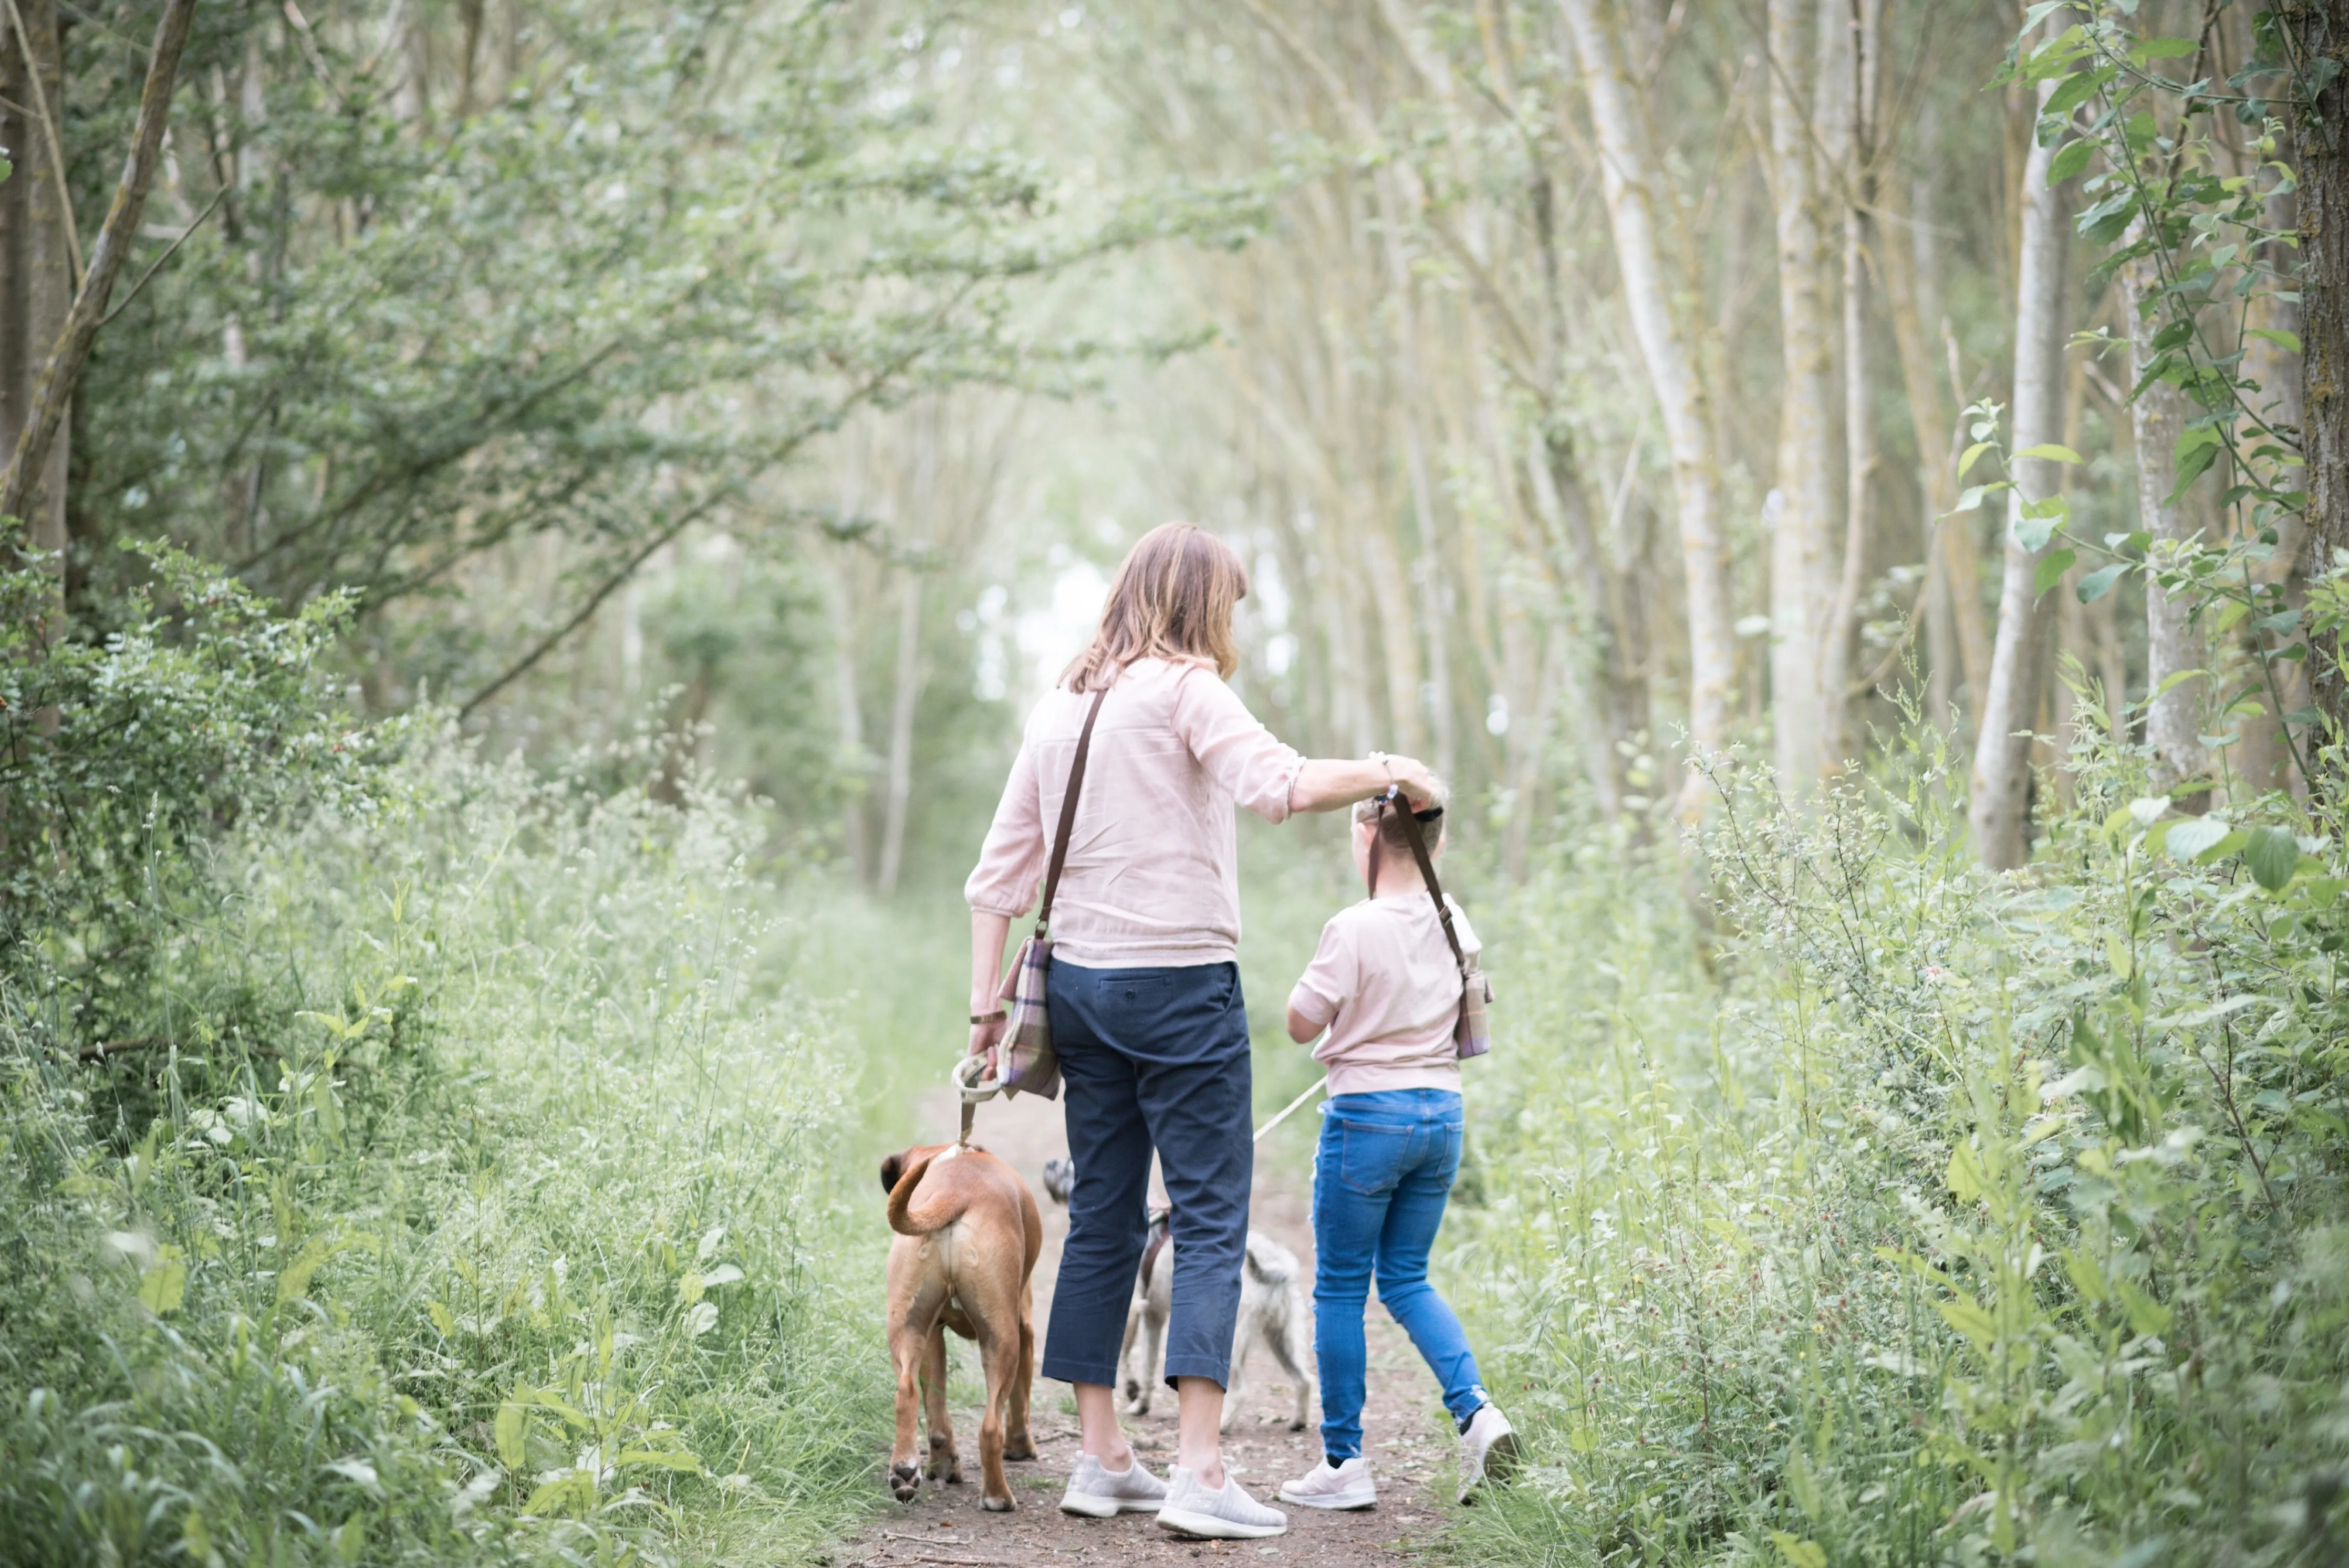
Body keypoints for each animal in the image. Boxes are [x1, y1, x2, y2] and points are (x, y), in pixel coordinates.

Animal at [883, 1147, 1038, 1514]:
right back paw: (998, 1496)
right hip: (1003, 1341)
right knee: (991, 1426)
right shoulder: (1025, 1330)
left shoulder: (933, 1336)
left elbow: (936, 1409)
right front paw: (1021, 1447)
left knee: (908, 1393)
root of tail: (957, 1192)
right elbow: (1020, 1402)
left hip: (908, 1327)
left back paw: (910, 1470)